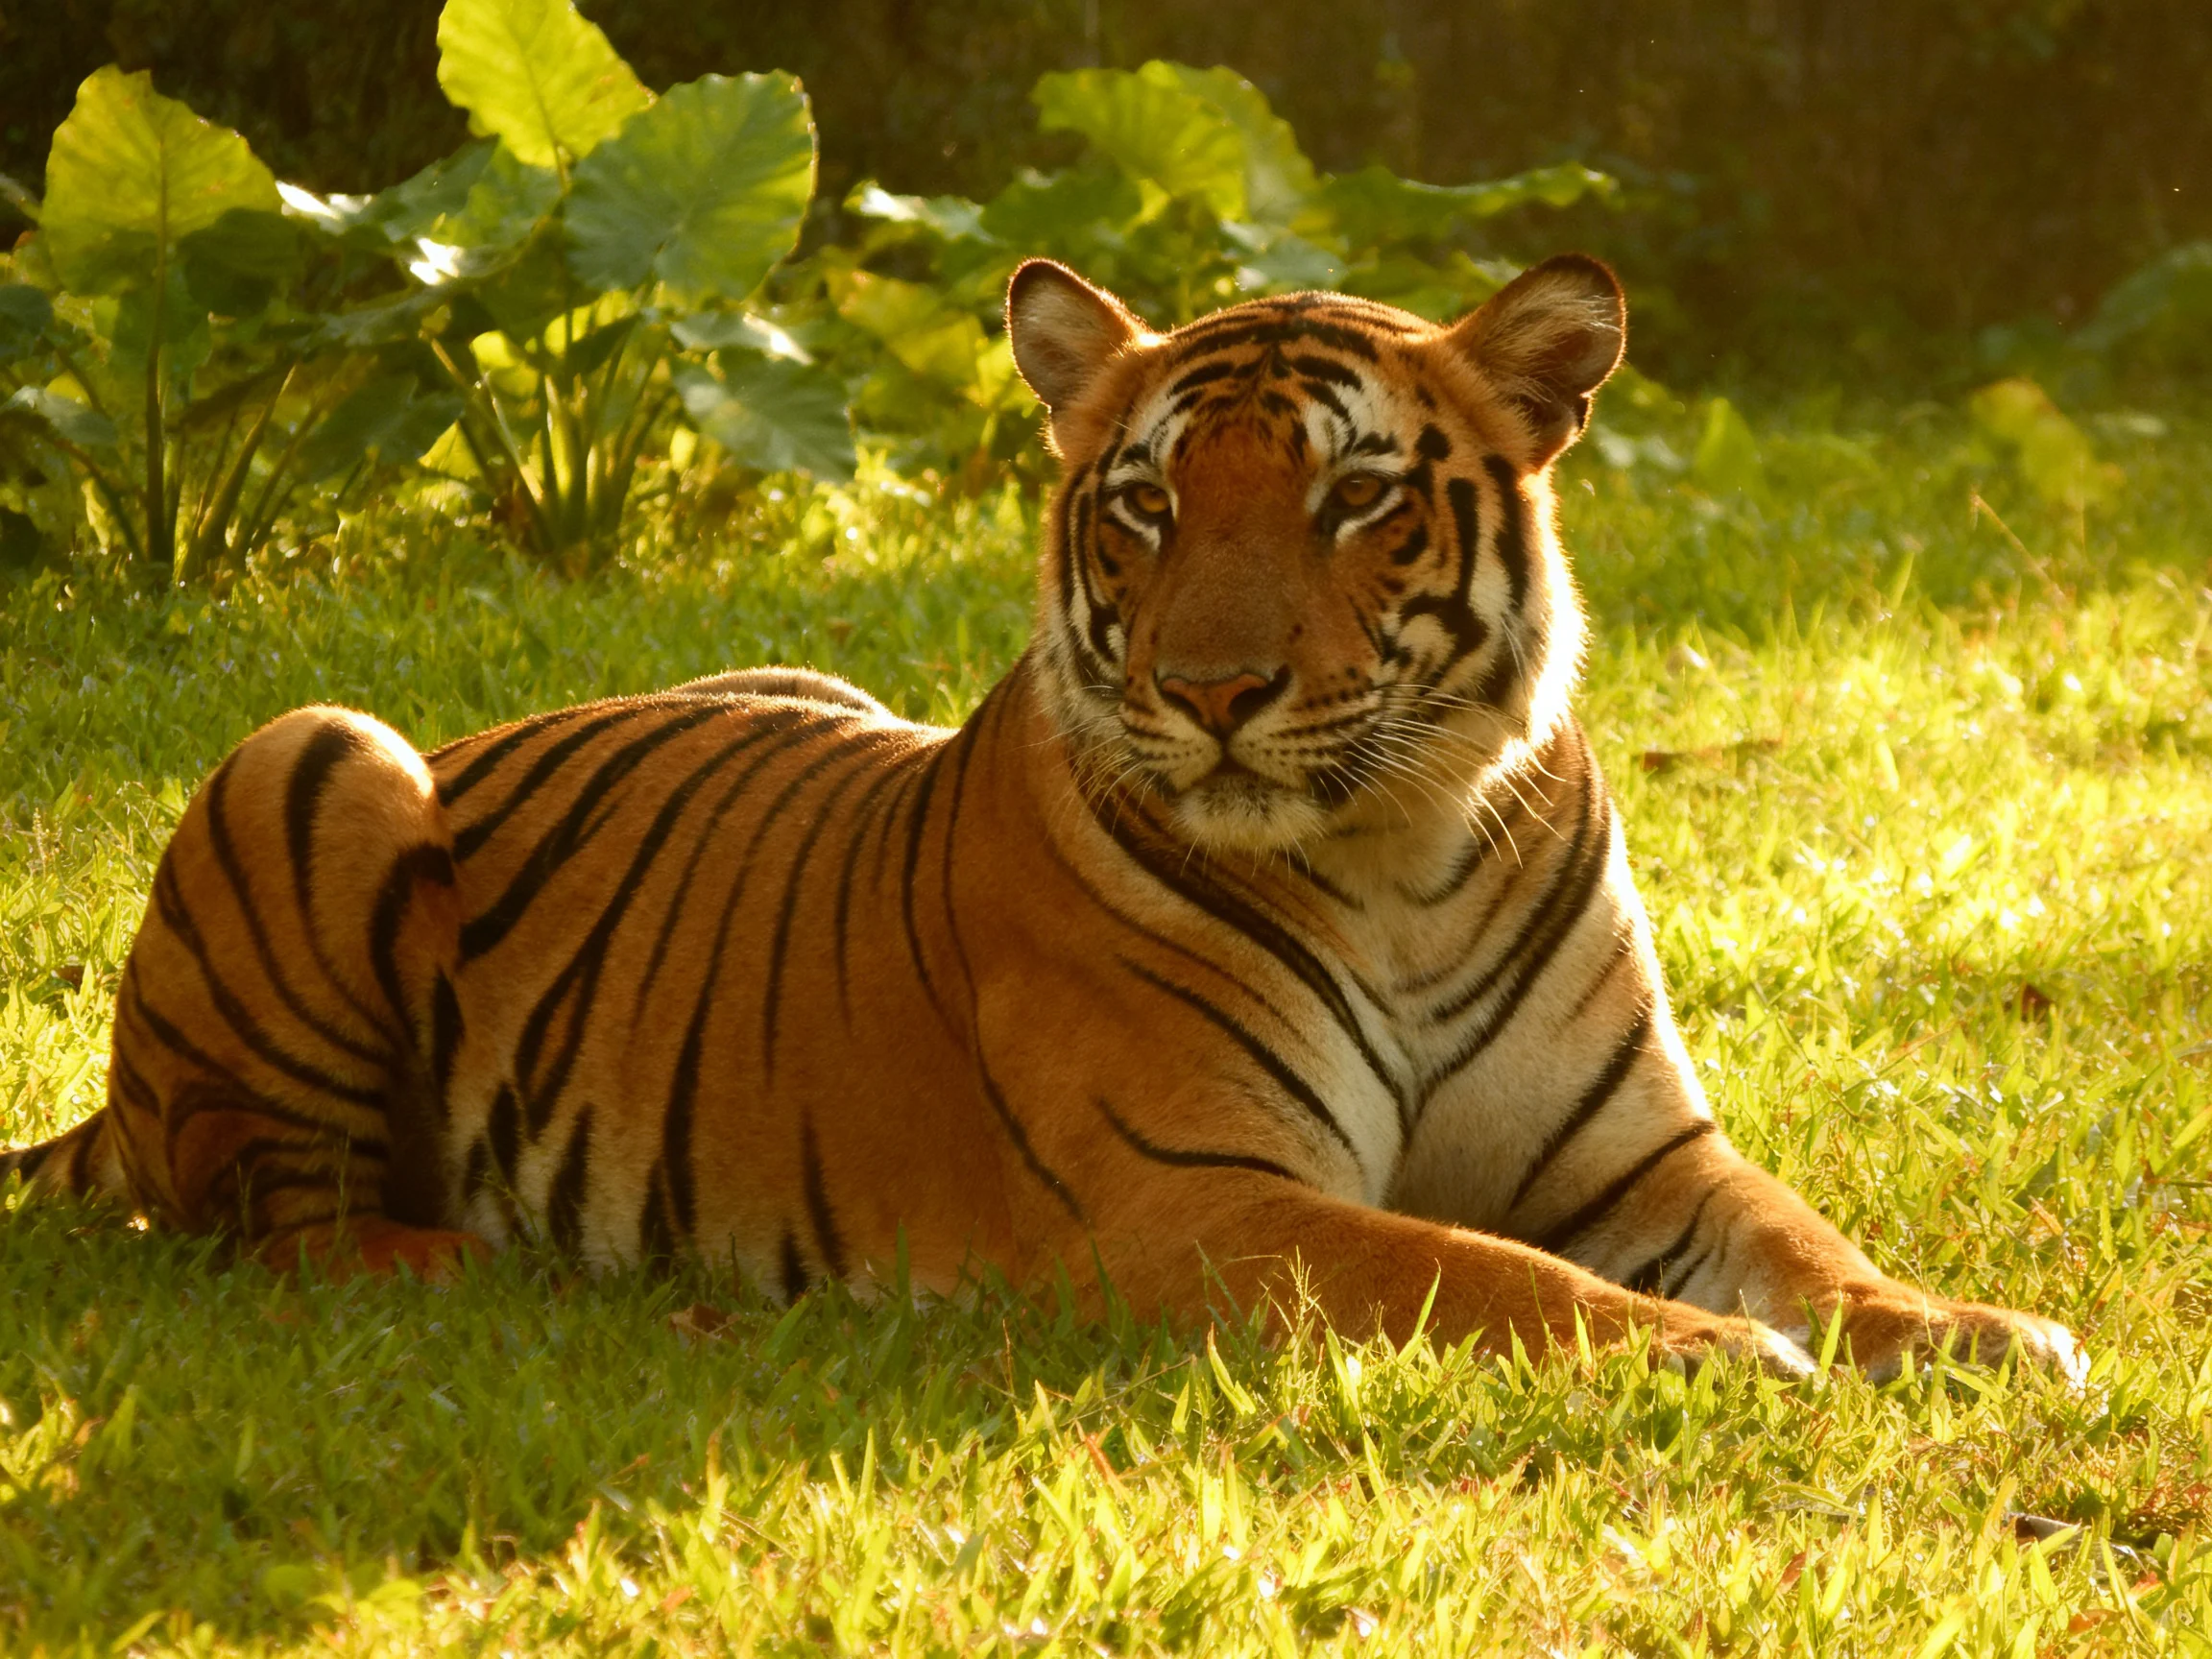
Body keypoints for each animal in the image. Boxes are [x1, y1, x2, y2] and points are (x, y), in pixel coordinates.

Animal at [3, 254, 2080, 1382]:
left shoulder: (1636, 1156)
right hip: (319, 750)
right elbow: (1479, 1273)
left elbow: (1807, 1240)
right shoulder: (1201, 1200)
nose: (1215, 690)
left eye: (1351, 499)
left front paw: (1974, 1334)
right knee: (267, 1218)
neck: (1400, 854)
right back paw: (478, 1269)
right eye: (1147, 505)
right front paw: (1718, 1355)